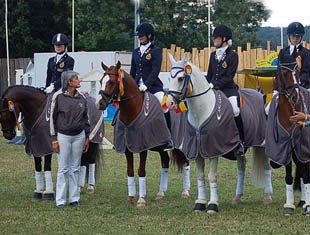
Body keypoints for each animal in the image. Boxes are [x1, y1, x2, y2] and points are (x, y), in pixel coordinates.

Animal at [98, 61, 190, 207]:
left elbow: (141, 171)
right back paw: (160, 193)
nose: (100, 104)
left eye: (112, 82)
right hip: (160, 146)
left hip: (180, 142)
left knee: (186, 162)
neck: (131, 111)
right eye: (101, 81)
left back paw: (185, 192)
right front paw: (130, 197)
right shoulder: (127, 148)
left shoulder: (143, 146)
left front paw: (141, 199)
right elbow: (130, 171)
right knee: (165, 162)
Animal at [266, 57, 310, 216]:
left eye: (297, 72)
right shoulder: (286, 148)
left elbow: (306, 175)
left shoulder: (303, 147)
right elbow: (289, 176)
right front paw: (289, 205)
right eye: (284, 73)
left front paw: (308, 206)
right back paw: (301, 201)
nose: (295, 97)